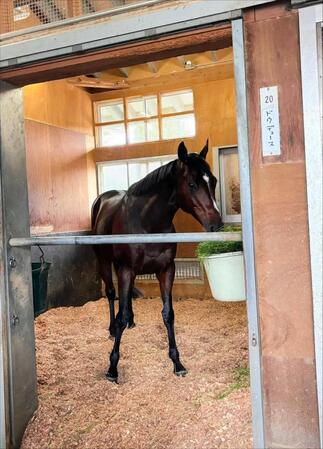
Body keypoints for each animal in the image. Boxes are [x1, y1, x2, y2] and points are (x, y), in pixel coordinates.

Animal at [91, 140, 223, 382]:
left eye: (214, 181)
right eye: (192, 184)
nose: (216, 224)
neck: (146, 222)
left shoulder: (166, 270)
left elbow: (168, 315)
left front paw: (177, 362)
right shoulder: (126, 270)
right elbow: (120, 313)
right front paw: (112, 367)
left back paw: (131, 321)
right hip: (105, 262)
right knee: (112, 295)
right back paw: (112, 329)